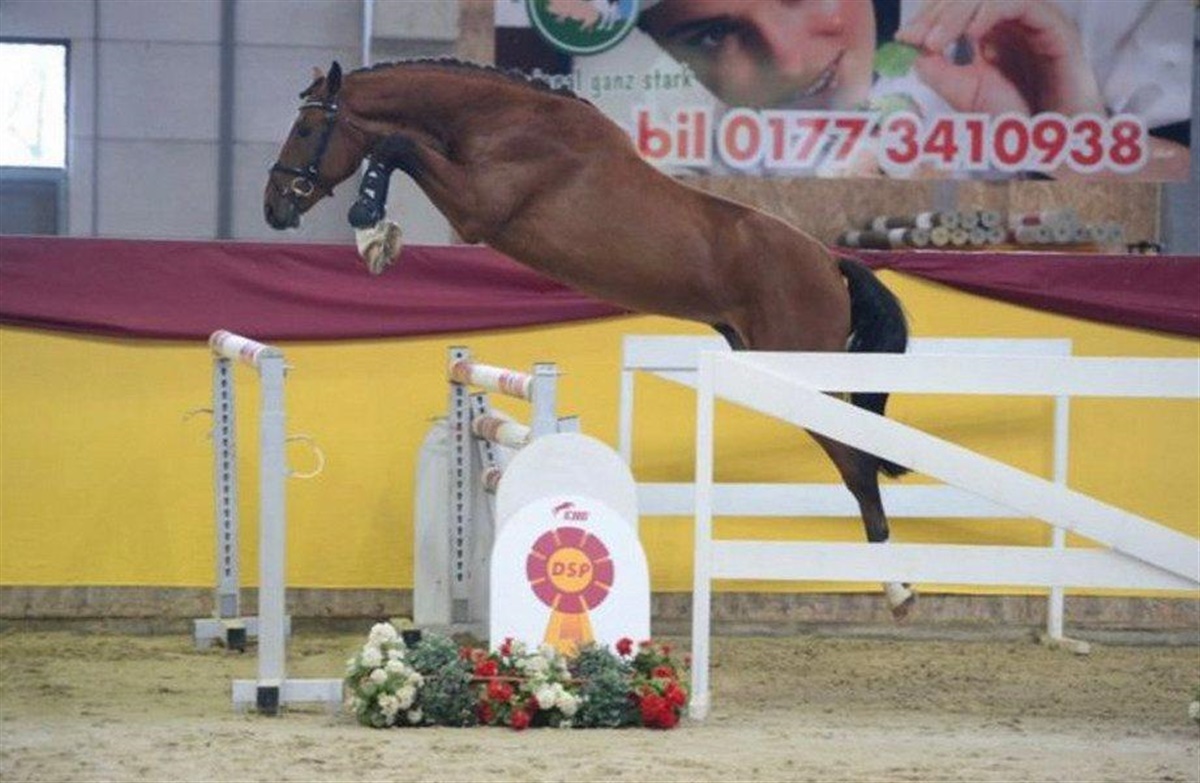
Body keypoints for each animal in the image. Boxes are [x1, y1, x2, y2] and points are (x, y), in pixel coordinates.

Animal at [263, 59, 916, 619]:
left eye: (306, 128)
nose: (274, 209)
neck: (502, 123)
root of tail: (829, 262)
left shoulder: (476, 209)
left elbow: (393, 145)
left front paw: (371, 231)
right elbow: (395, 147)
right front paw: (376, 237)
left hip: (802, 375)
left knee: (858, 463)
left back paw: (899, 590)